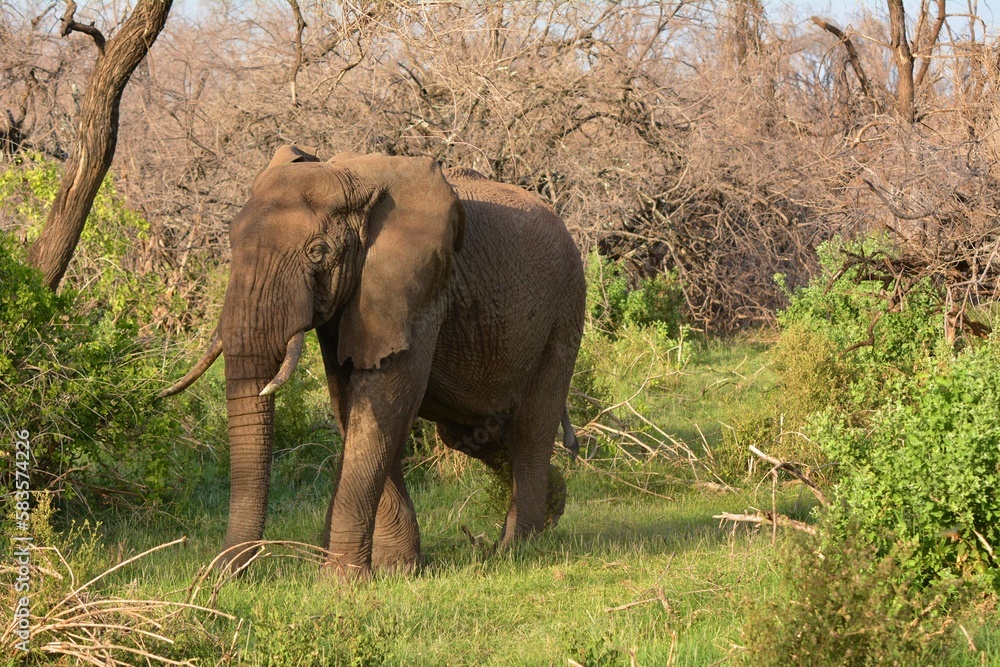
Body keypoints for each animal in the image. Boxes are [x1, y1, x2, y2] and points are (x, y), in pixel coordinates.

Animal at [160, 146, 586, 579]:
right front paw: (395, 569)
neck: (351, 178)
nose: (217, 576)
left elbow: (386, 402)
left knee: (531, 427)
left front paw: (340, 580)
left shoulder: (419, 292)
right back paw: (553, 506)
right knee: (474, 433)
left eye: (318, 252)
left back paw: (516, 547)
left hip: (564, 314)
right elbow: (352, 406)